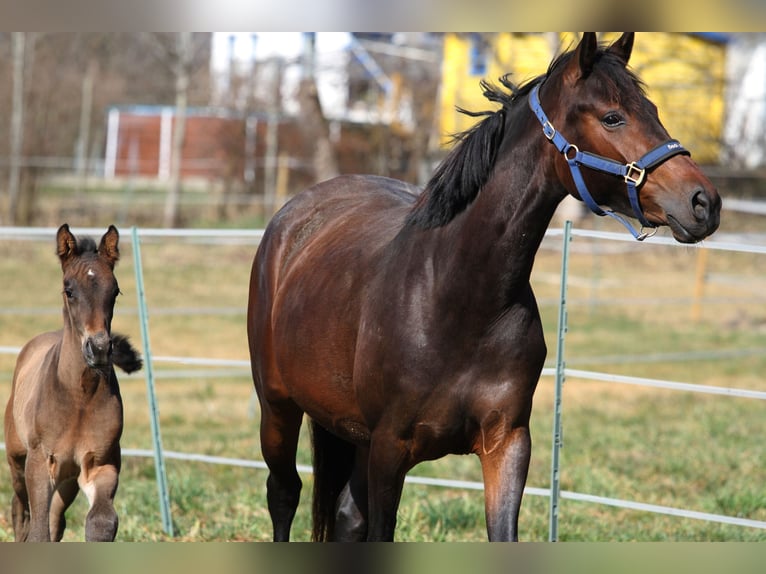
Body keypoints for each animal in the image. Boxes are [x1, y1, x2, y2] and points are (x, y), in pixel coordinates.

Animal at [4, 225, 142, 544]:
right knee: (20, 512)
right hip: (17, 461)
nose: (100, 349)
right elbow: (37, 531)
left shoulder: (101, 463)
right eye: (69, 290)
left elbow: (101, 522)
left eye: (115, 291)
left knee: (56, 519)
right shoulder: (40, 463)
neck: (79, 395)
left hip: (67, 478)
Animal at [249, 32, 724, 544]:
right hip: (278, 407)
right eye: (613, 117)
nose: (704, 203)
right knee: (284, 493)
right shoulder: (389, 449)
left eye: (653, 109)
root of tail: (295, 214)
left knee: (345, 516)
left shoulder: (508, 443)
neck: (459, 297)